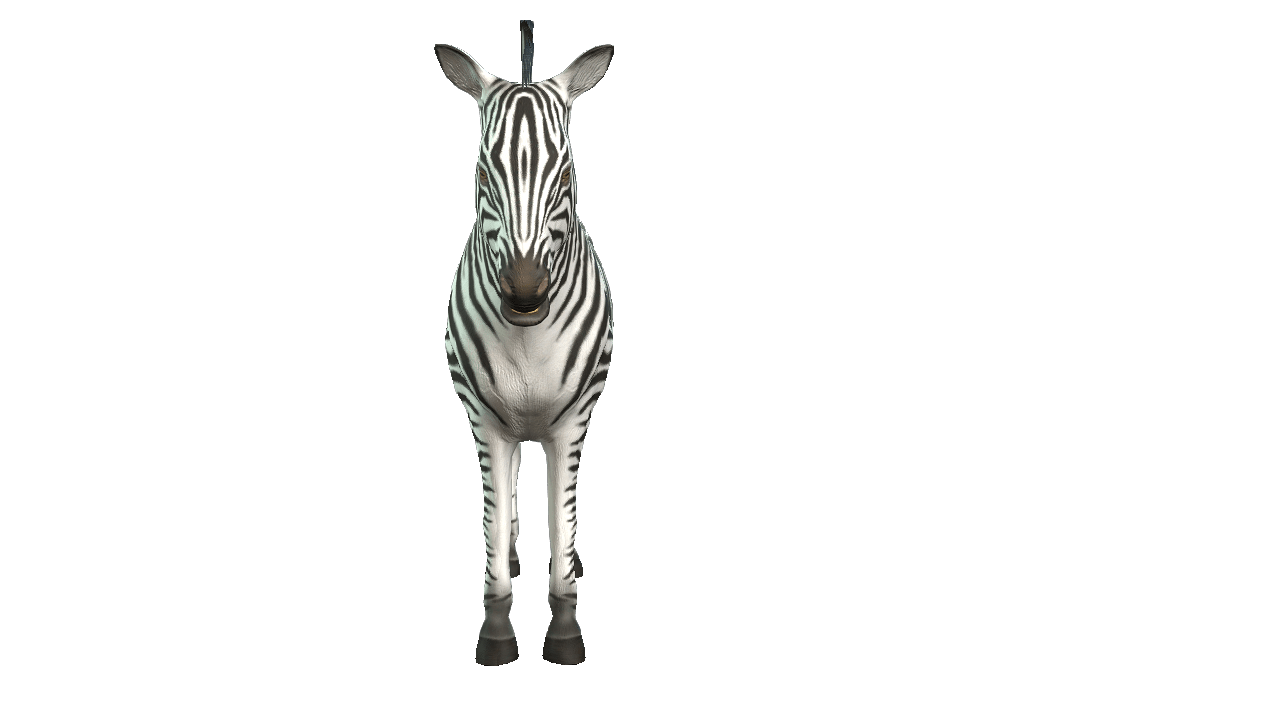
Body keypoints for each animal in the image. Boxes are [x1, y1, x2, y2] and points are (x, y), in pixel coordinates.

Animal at [435, 21, 615, 666]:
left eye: (564, 177)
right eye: (485, 176)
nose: (525, 295)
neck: (527, 340)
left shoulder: (572, 424)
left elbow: (562, 523)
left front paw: (565, 630)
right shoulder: (486, 421)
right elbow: (493, 520)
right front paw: (496, 631)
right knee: (508, 497)